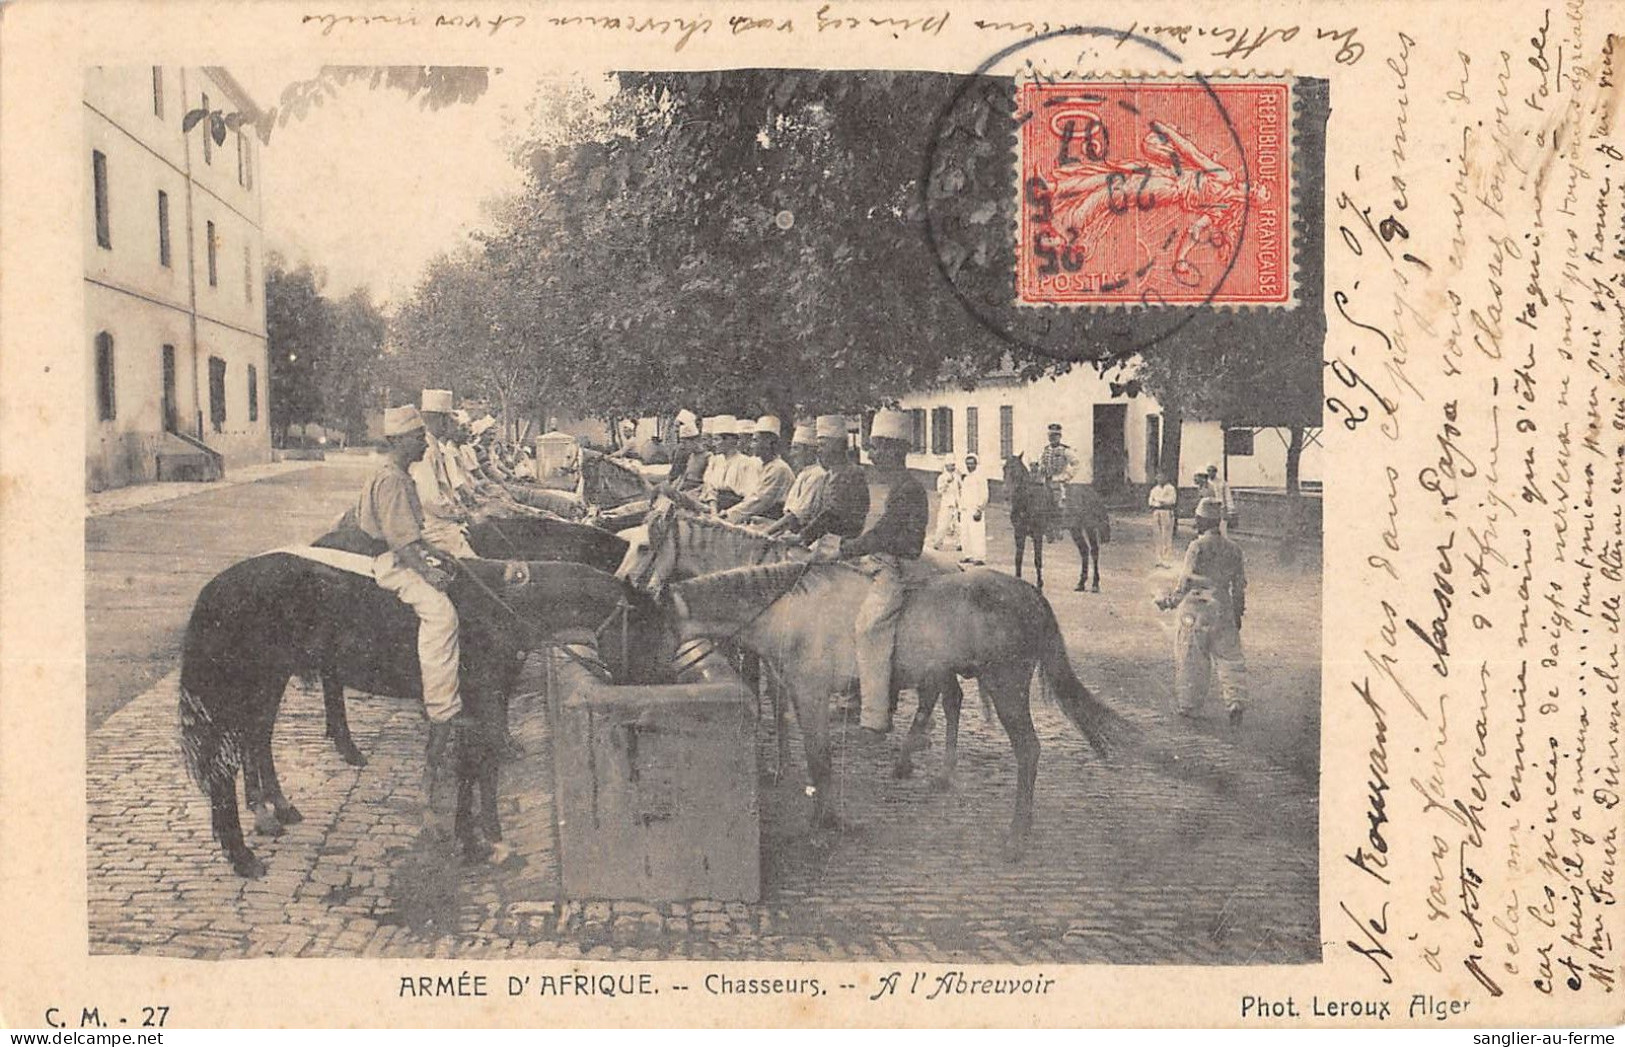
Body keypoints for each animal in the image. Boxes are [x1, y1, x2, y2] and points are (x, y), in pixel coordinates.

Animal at [179, 552, 659, 877]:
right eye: (653, 628)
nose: (647, 688)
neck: (506, 605)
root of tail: (216, 589)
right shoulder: (482, 701)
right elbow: (481, 765)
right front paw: (489, 841)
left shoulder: (481, 703)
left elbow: (473, 767)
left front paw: (471, 838)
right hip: (241, 686)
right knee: (224, 766)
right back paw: (243, 855)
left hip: (270, 680)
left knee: (257, 739)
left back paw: (275, 809)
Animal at [614, 503, 1124, 851]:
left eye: (643, 546)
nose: (631, 681)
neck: (786, 604)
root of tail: (1030, 595)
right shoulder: (789, 684)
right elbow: (797, 738)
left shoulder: (809, 692)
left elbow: (819, 757)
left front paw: (825, 822)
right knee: (953, 704)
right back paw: (936, 772)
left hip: (1007, 687)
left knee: (1028, 750)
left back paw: (1015, 836)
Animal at [994, 455, 1111, 591]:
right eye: (1004, 468)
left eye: (1016, 471)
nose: (1006, 492)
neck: (1028, 500)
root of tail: (1092, 493)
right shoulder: (1019, 533)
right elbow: (1018, 558)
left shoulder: (1037, 534)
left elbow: (1037, 559)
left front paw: (1039, 584)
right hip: (1075, 529)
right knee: (1084, 550)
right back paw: (1081, 583)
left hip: (1090, 527)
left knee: (1094, 551)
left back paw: (1095, 585)